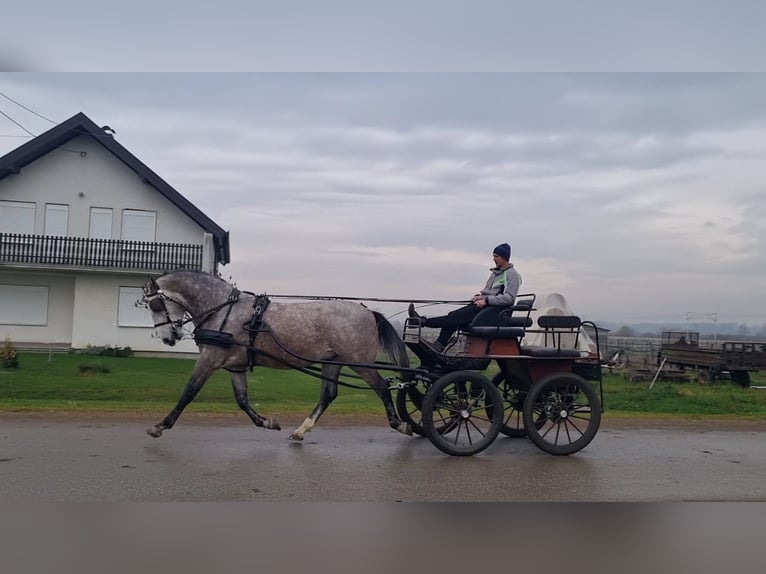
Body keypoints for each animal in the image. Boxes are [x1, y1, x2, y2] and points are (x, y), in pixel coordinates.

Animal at [140, 272, 412, 444]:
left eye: (155, 305)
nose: (168, 338)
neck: (222, 310)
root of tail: (369, 311)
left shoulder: (210, 360)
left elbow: (188, 393)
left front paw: (160, 426)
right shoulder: (235, 367)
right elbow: (242, 400)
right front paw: (267, 422)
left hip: (358, 362)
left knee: (381, 386)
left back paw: (400, 424)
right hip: (332, 363)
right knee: (328, 395)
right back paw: (300, 431)